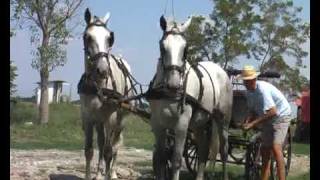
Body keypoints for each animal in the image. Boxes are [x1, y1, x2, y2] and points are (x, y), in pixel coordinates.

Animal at [79, 8, 136, 180]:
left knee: (115, 146)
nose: (103, 70)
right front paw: (92, 175)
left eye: (109, 38)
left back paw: (113, 172)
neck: (98, 86)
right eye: (87, 37)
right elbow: (89, 150)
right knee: (102, 142)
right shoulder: (88, 118)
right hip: (99, 121)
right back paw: (100, 173)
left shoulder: (111, 119)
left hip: (120, 120)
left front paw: (109, 174)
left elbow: (108, 151)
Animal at [147, 15, 232, 180]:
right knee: (203, 151)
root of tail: (222, 72)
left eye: (185, 49)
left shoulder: (182, 124)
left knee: (223, 151)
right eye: (162, 47)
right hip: (200, 124)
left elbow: (176, 160)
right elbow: (160, 159)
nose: (173, 84)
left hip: (222, 120)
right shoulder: (158, 124)